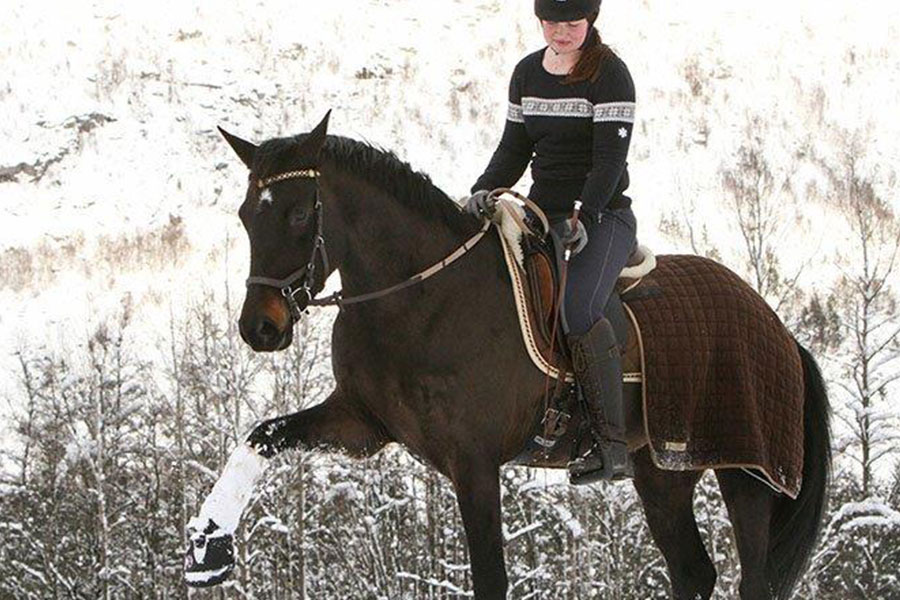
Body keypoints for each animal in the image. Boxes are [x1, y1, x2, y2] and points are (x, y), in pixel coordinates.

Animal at [183, 112, 832, 600]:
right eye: (246, 215)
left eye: (297, 213)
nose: (260, 328)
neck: (420, 298)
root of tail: (779, 329)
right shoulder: (361, 424)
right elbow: (261, 437)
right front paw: (208, 544)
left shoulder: (474, 462)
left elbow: (491, 580)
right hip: (663, 472)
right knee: (693, 571)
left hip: (745, 472)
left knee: (752, 579)